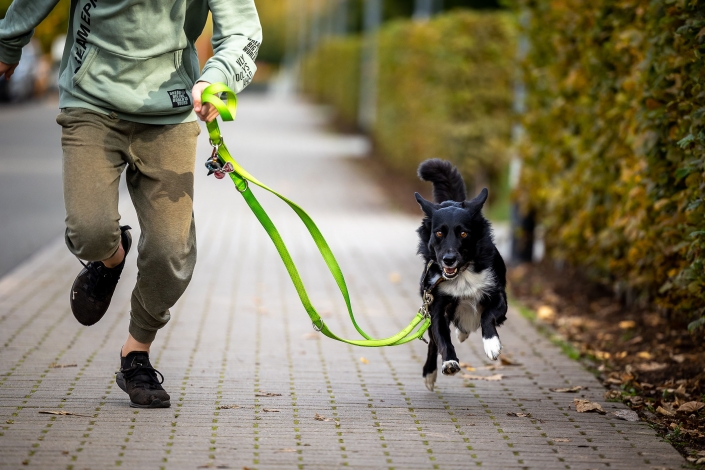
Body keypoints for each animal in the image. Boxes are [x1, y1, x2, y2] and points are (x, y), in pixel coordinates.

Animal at [412, 160, 506, 392]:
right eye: (438, 233)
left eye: (463, 233)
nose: (448, 260)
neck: (462, 273)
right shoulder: (435, 307)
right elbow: (442, 339)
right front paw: (449, 362)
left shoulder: (499, 297)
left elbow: (487, 315)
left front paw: (492, 343)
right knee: (433, 343)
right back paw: (430, 372)